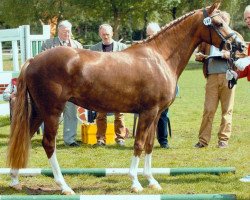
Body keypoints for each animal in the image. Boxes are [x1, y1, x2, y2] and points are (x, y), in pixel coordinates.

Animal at [6, 2, 244, 195]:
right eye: (218, 23)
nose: (240, 46)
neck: (159, 57)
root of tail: (34, 60)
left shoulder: (156, 114)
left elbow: (149, 144)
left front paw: (152, 181)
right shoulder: (147, 112)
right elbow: (138, 144)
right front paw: (136, 183)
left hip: (38, 110)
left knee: (25, 136)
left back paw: (15, 180)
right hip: (52, 111)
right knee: (48, 144)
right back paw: (64, 186)